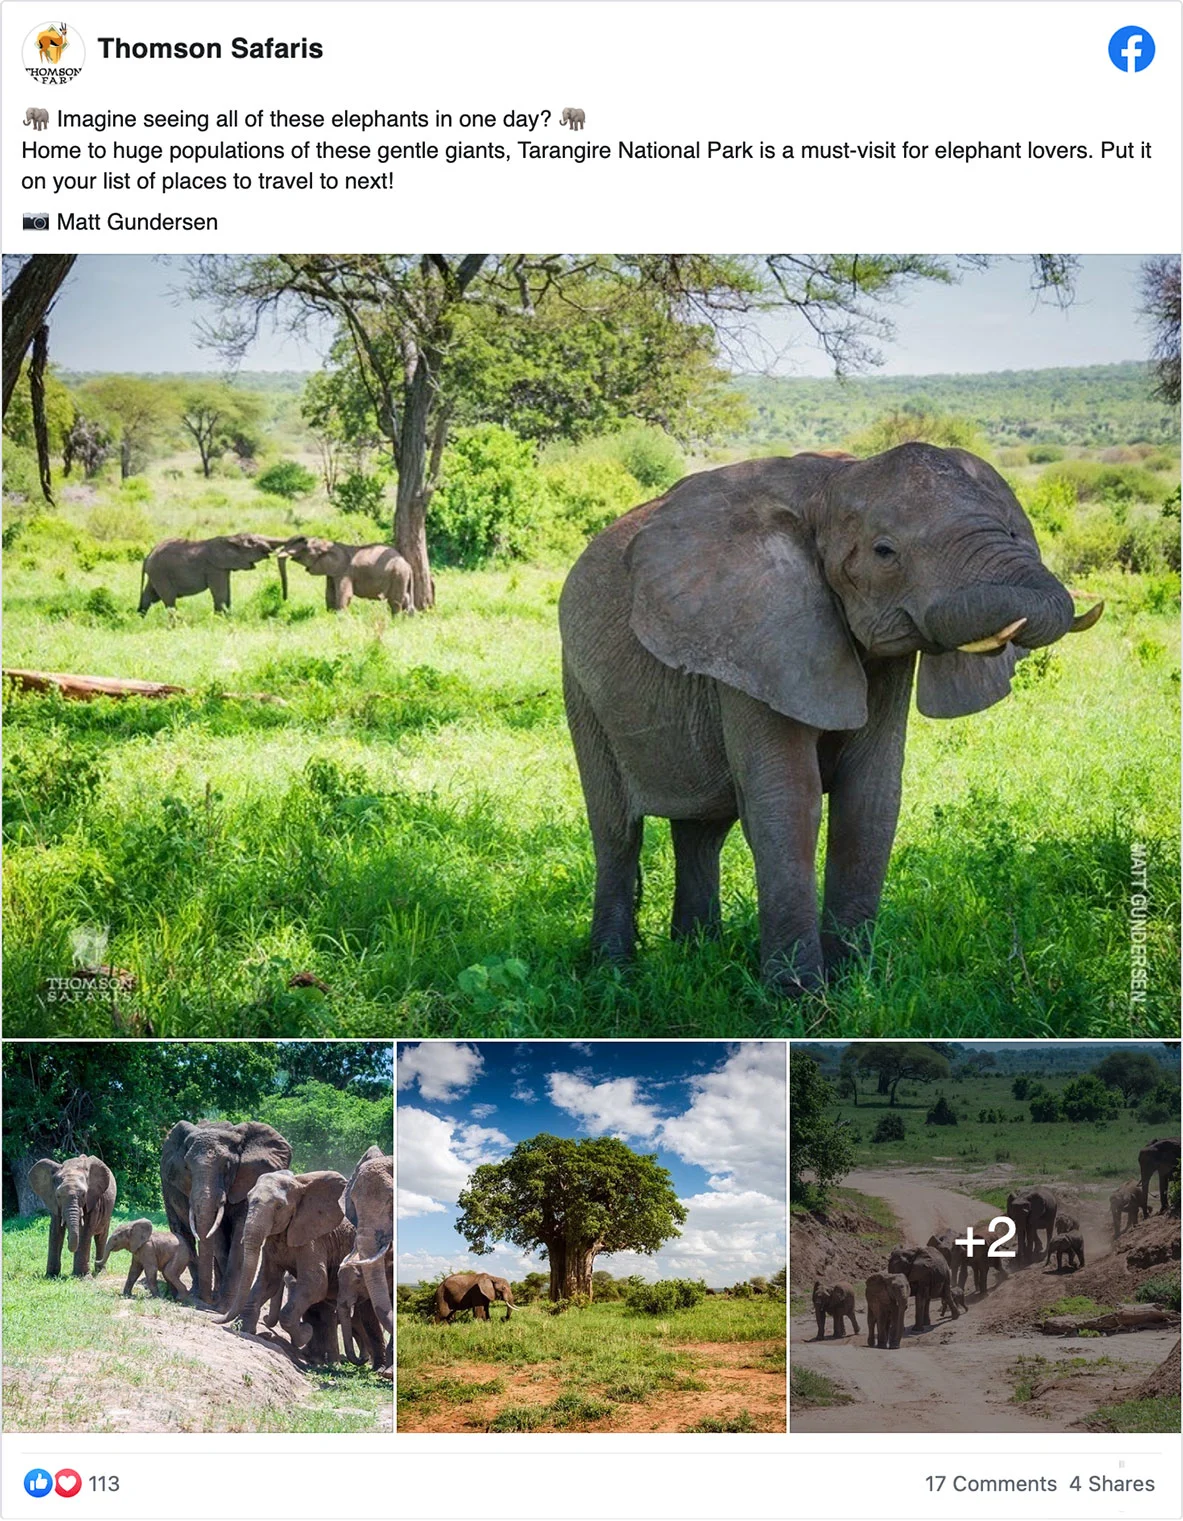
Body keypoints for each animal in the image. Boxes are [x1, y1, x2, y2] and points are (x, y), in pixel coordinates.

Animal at [139, 534, 285, 615]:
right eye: (252, 543)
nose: (270, 550)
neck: (229, 538)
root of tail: (147, 556)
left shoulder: (224, 568)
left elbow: (226, 594)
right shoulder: (214, 568)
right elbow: (220, 594)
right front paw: (221, 620)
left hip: (156, 574)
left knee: (149, 597)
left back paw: (140, 619)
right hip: (160, 573)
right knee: (169, 600)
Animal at [160, 1120, 292, 1308]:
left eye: (227, 1166)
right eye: (186, 1167)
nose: (207, 1301)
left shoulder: (248, 1179)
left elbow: (238, 1233)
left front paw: (224, 1307)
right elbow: (218, 1238)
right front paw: (221, 1304)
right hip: (166, 1187)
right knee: (182, 1232)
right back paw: (194, 1294)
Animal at [217, 1170, 354, 1359]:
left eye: (279, 1206)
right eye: (249, 1198)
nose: (215, 1319)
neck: (299, 1185)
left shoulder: (314, 1238)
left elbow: (315, 1283)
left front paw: (305, 1334)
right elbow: (269, 1281)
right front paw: (241, 1328)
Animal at [277, 536, 414, 615]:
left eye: (306, 549)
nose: (285, 599)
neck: (330, 544)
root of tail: (408, 565)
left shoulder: (345, 572)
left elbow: (344, 595)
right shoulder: (332, 572)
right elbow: (330, 595)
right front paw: (330, 616)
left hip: (398, 575)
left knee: (395, 601)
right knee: (405, 598)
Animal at [558, 445, 1102, 991]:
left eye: (1011, 530)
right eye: (884, 552)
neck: (831, 483)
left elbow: (870, 798)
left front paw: (854, 985)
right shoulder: (758, 637)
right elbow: (789, 801)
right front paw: (797, 998)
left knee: (702, 833)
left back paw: (696, 957)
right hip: (580, 687)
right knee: (617, 830)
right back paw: (614, 974)